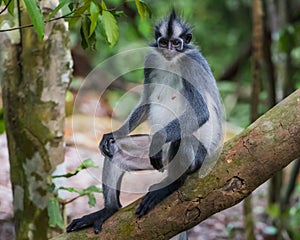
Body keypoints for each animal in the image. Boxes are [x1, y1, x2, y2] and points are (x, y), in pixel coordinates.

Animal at [67, 10, 223, 235]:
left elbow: (201, 112)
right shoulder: (152, 59)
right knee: (116, 150)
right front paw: (113, 134)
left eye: (176, 43)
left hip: (198, 157)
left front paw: (158, 138)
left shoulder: (191, 64)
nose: (168, 50)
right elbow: (147, 101)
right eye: (164, 42)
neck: (170, 62)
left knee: (182, 139)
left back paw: (171, 185)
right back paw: (108, 210)